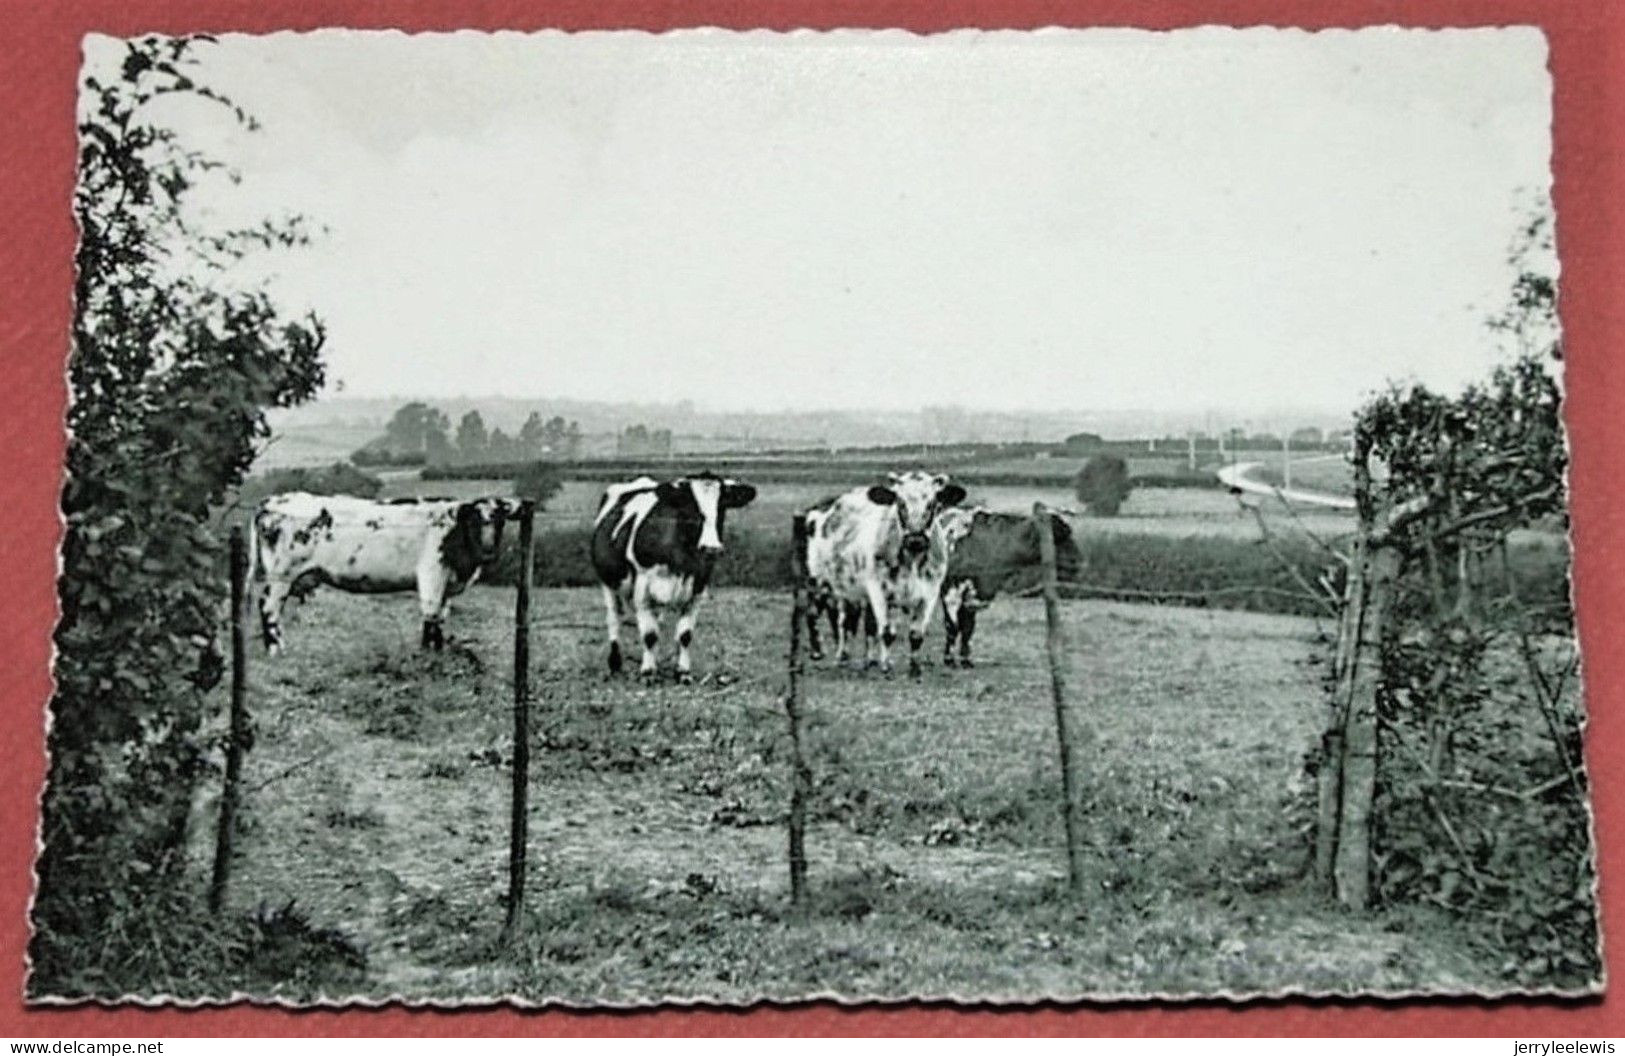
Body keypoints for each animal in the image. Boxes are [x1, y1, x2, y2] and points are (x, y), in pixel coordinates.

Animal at [248, 490, 520, 649]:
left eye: (500, 520)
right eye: (474, 521)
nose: (488, 552)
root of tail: (272, 500)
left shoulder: (448, 585)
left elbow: (441, 619)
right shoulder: (432, 573)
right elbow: (431, 617)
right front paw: (428, 655)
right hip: (281, 575)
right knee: (268, 608)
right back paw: (276, 650)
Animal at [591, 471, 754, 682]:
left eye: (722, 506)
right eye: (690, 508)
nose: (711, 548)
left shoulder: (697, 589)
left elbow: (685, 635)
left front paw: (683, 672)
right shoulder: (643, 589)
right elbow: (649, 635)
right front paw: (648, 672)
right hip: (608, 582)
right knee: (614, 617)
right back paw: (615, 663)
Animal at [799, 467, 962, 675]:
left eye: (932, 504)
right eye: (900, 503)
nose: (915, 540)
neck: (912, 560)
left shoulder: (929, 594)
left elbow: (916, 634)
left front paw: (915, 668)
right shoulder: (879, 591)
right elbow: (886, 632)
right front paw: (887, 665)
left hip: (850, 591)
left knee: (848, 623)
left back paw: (858, 659)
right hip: (820, 581)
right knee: (816, 614)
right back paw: (822, 652)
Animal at [936, 503, 1085, 666]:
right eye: (1058, 536)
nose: (1079, 560)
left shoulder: (975, 594)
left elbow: (968, 628)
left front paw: (966, 660)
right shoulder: (951, 592)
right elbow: (952, 626)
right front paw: (949, 659)